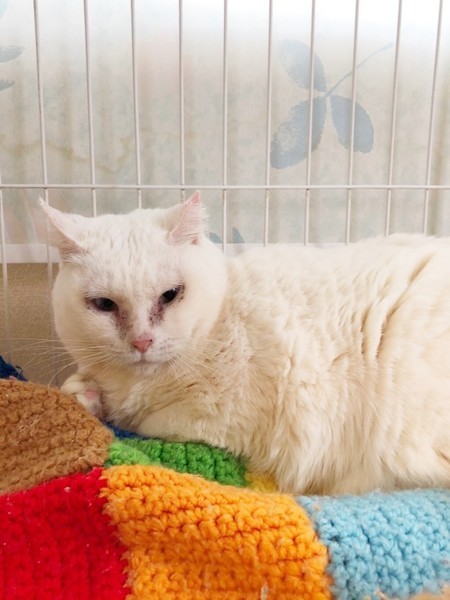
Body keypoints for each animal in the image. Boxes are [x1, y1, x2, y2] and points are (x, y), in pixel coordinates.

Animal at [40, 193, 450, 495]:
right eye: (104, 305)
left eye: (171, 295)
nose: (142, 341)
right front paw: (83, 392)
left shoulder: (214, 421)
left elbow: (140, 422)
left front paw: (100, 403)